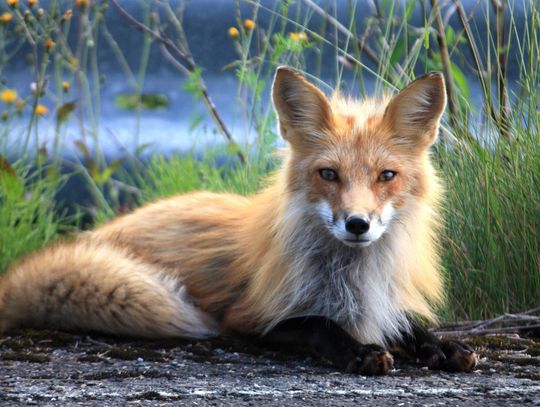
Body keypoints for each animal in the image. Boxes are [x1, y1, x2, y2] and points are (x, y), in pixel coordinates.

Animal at [0, 67, 476, 376]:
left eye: (386, 176)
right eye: (329, 174)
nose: (357, 224)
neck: (354, 278)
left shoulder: (386, 301)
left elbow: (411, 325)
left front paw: (443, 346)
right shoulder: (249, 318)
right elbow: (319, 324)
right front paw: (360, 351)